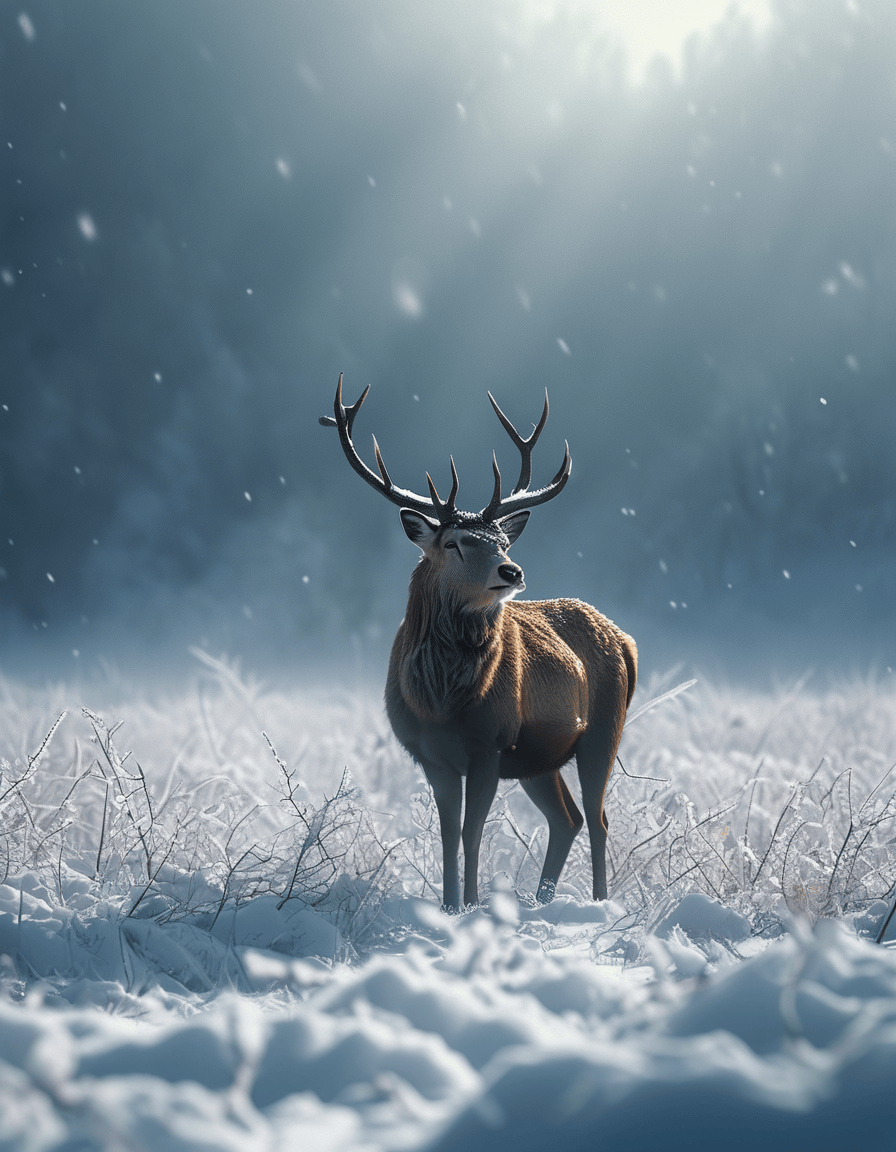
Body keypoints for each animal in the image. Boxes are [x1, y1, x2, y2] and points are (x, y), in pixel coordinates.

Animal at [320, 375, 637, 912]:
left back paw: (597, 905)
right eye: (454, 544)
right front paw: (449, 906)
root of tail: (626, 642)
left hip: (602, 729)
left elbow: (473, 831)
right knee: (568, 818)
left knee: (597, 818)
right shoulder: (430, 754)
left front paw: (468, 907)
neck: (442, 703)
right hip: (538, 759)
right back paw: (542, 902)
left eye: (502, 543)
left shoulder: (491, 743)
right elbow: (449, 833)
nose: (512, 571)